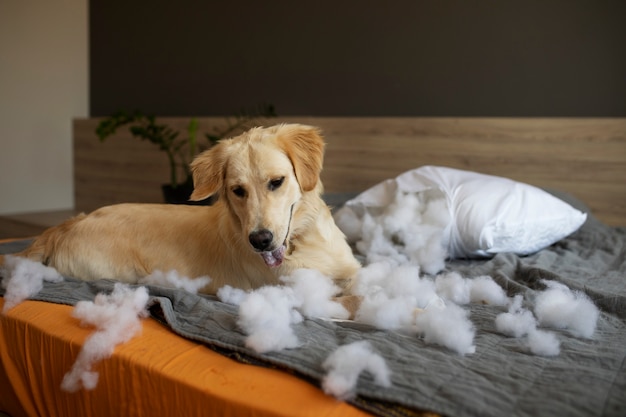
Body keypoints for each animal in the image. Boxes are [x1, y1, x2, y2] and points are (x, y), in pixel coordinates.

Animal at [0, 122, 358, 304]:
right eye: (237, 190)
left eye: (277, 182)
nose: (260, 240)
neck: (304, 240)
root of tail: (66, 226)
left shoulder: (353, 271)